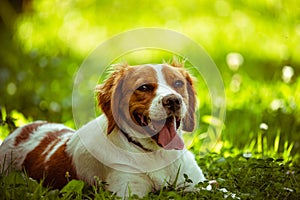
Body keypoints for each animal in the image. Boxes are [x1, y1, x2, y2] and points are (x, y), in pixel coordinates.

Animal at [0, 60, 206, 197]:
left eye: (178, 83)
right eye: (144, 87)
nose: (173, 100)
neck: (156, 154)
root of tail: (19, 130)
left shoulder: (198, 184)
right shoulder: (128, 191)